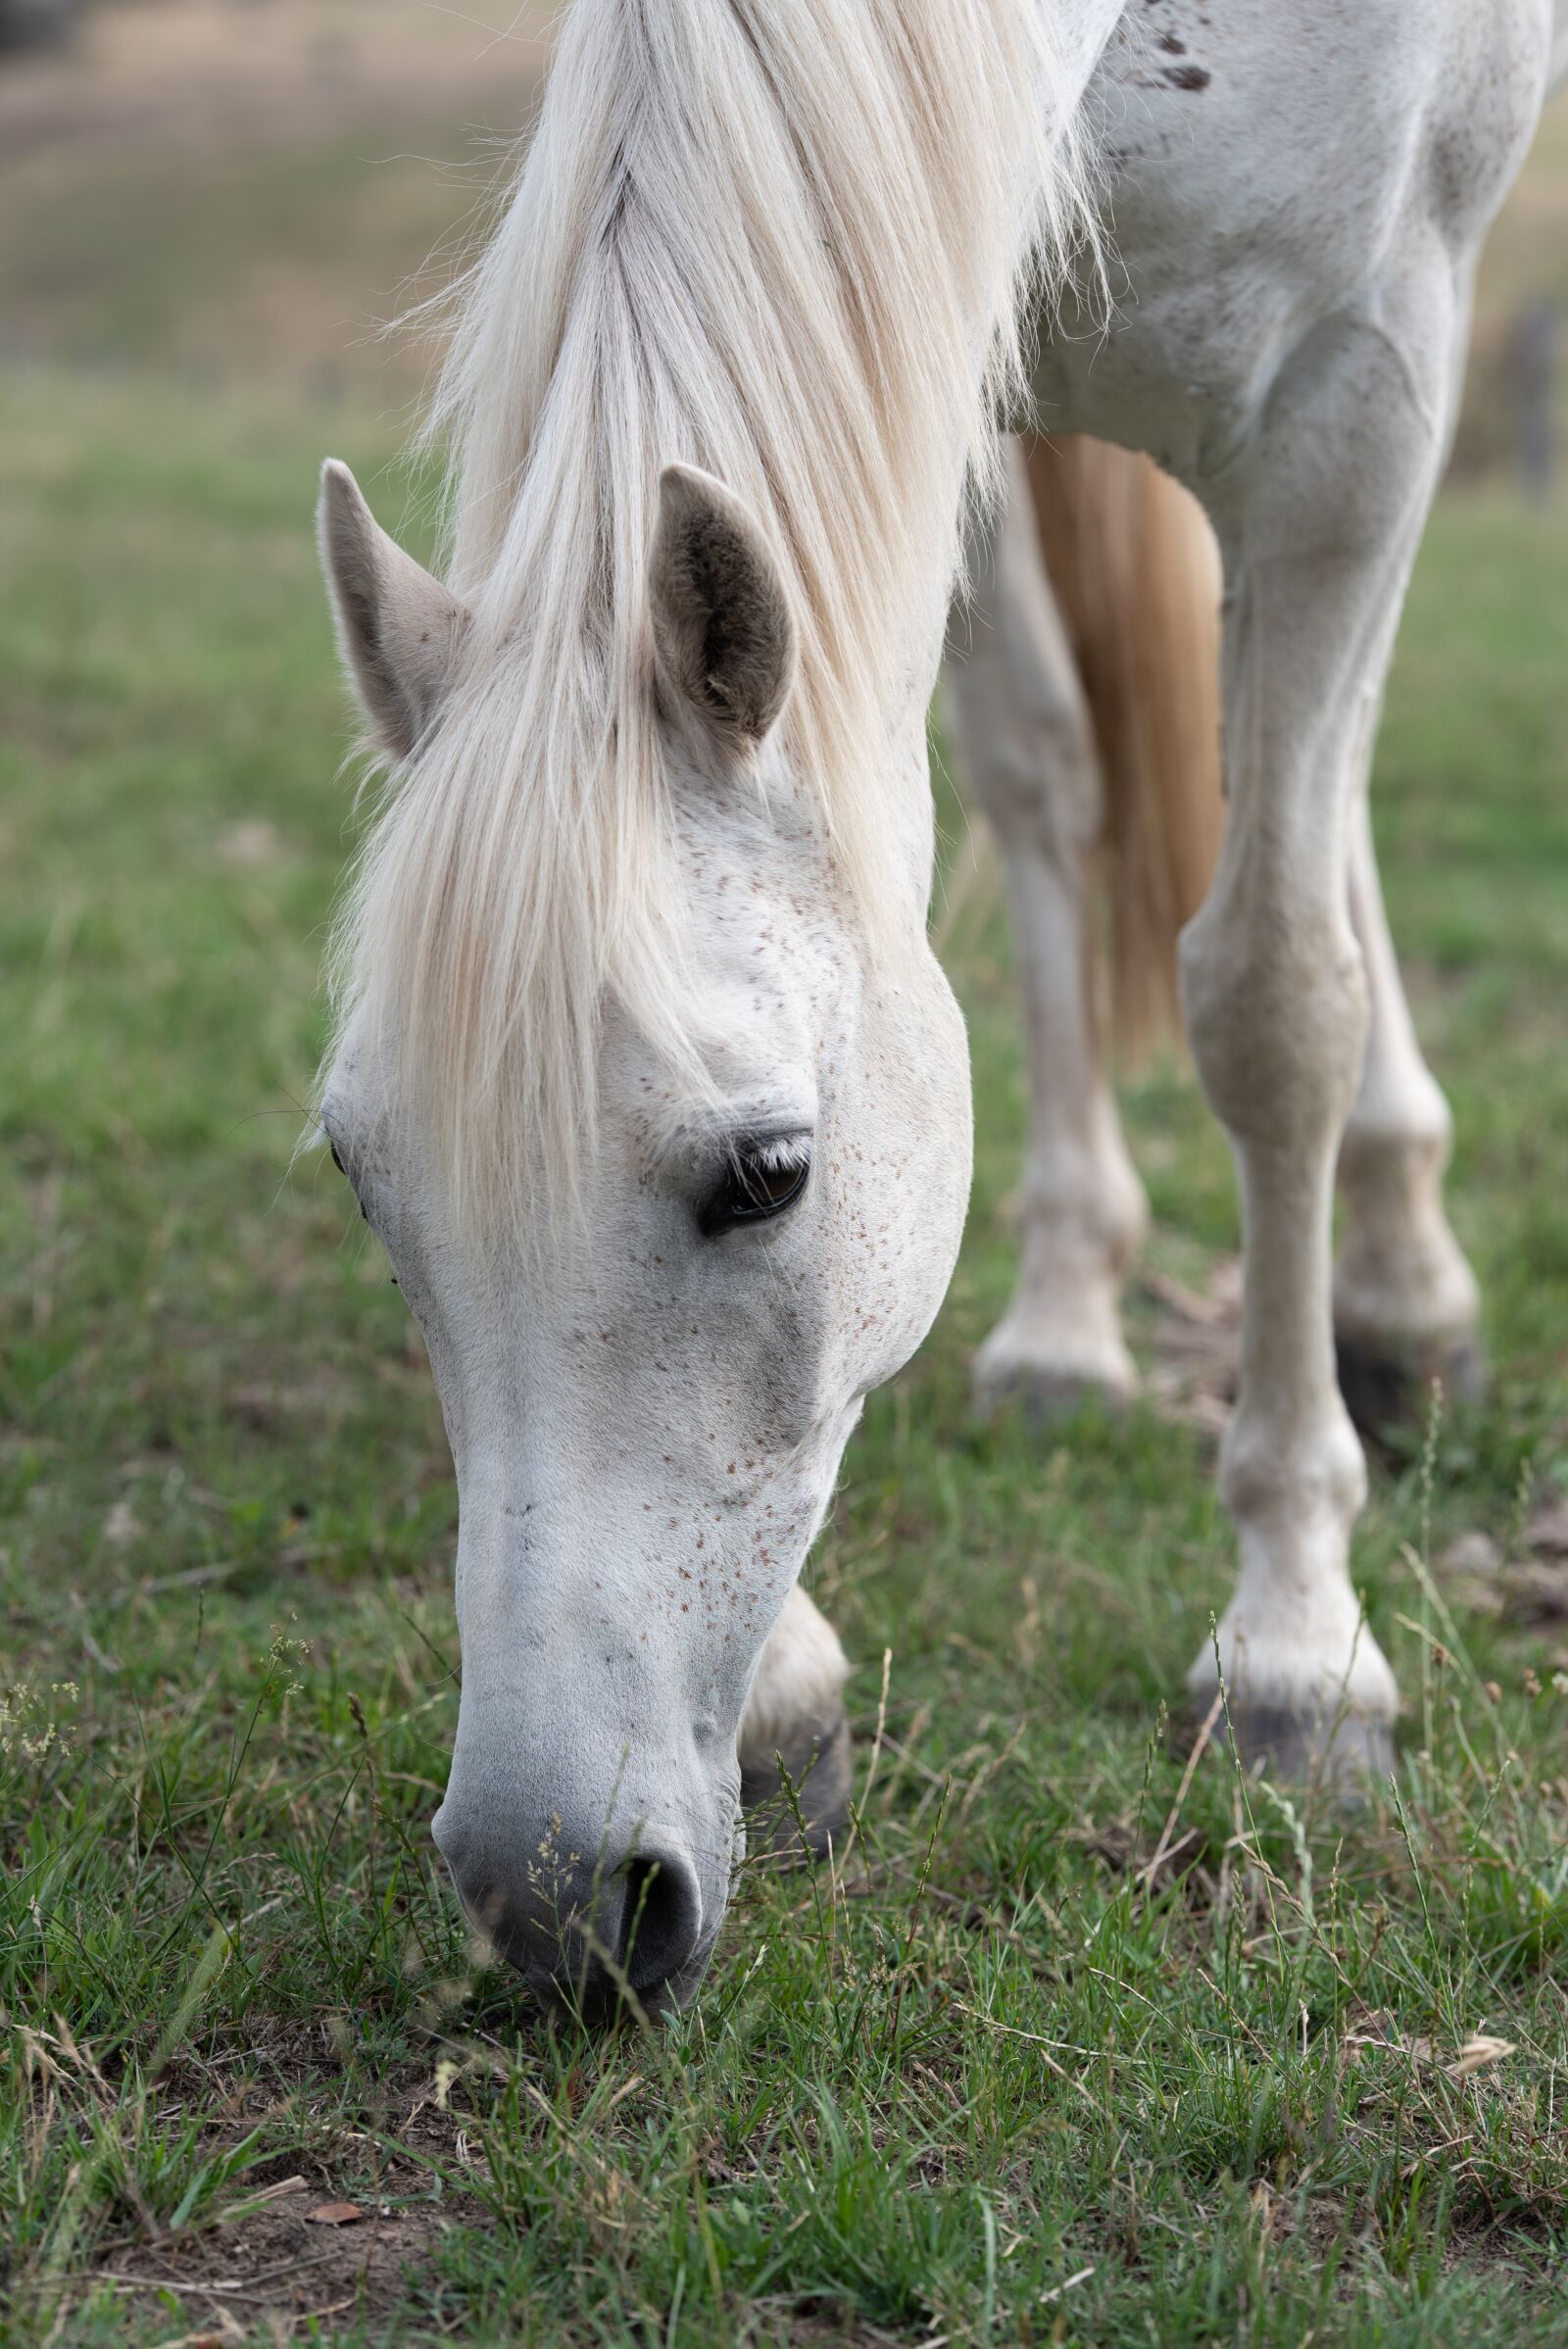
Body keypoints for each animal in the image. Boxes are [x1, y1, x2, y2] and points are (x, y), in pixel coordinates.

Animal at [313, 0, 1557, 2014]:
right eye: (363, 1178)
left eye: (768, 1175)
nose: (551, 1901)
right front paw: (788, 1695)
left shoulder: (1364, 385)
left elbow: (1276, 993)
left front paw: (1299, 1649)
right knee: (1056, 786)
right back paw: (1070, 1317)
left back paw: (1403, 1281)